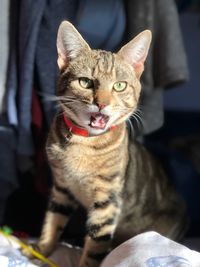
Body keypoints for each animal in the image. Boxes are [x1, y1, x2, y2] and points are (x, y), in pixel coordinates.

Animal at [27, 21, 188, 267]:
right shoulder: (62, 187)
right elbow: (53, 221)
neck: (83, 143)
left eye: (119, 86)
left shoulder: (107, 200)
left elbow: (95, 244)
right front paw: (41, 249)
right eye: (85, 82)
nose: (101, 104)